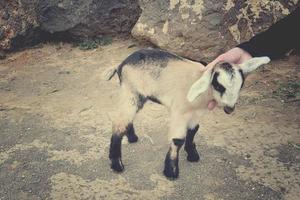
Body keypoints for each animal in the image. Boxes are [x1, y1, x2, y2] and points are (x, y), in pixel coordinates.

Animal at [107, 49, 270, 179]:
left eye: (241, 85)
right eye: (218, 85)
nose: (229, 109)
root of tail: (121, 64)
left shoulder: (196, 113)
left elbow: (193, 131)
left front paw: (192, 155)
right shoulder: (180, 112)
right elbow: (178, 140)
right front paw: (171, 171)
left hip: (135, 95)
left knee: (127, 119)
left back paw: (132, 138)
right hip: (131, 92)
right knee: (119, 123)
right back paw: (117, 164)